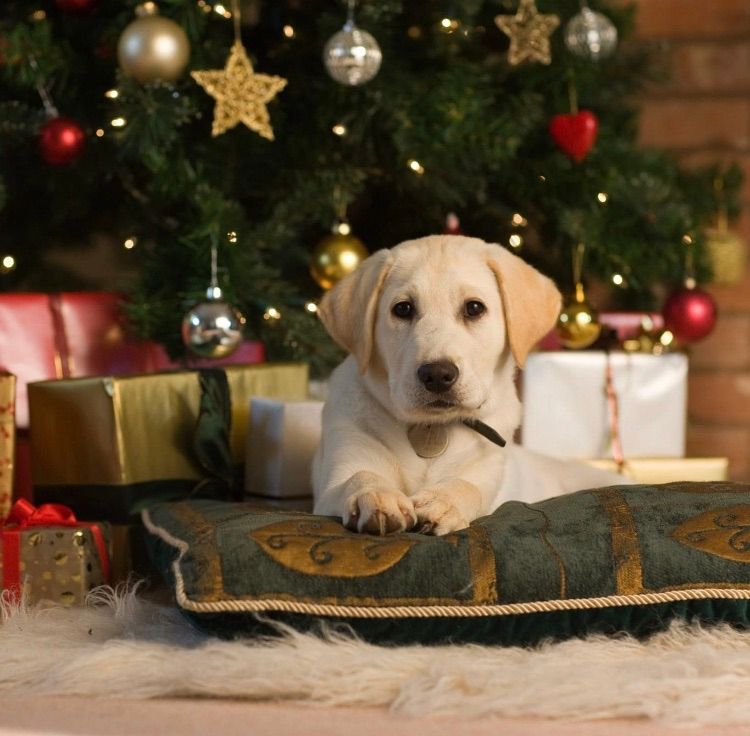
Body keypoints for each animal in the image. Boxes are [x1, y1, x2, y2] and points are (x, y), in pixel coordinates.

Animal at [312, 236, 628, 536]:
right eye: (402, 309)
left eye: (474, 308)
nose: (437, 374)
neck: (433, 428)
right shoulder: (340, 469)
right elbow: (359, 476)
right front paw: (376, 496)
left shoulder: (488, 469)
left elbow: (467, 486)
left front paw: (443, 503)